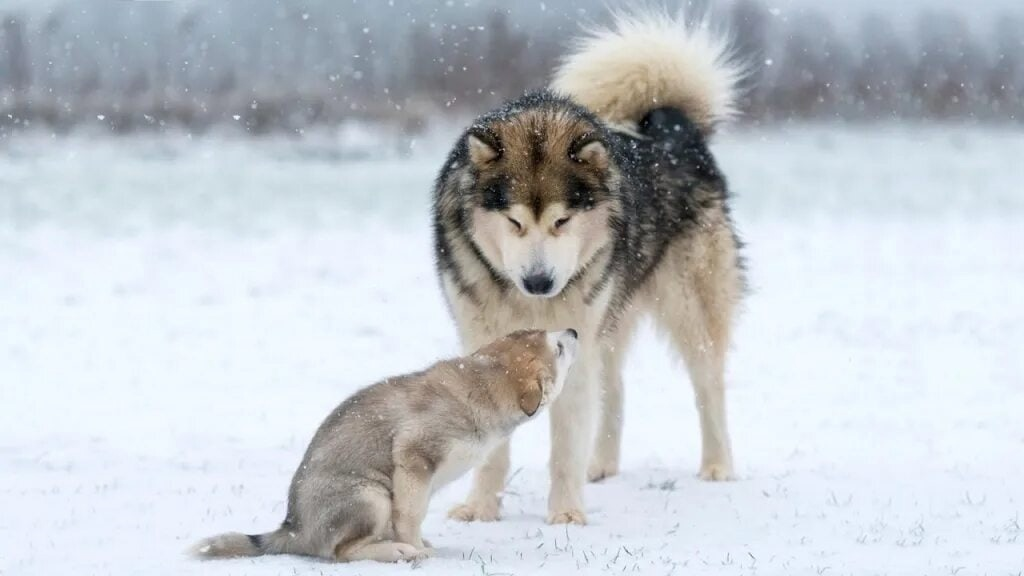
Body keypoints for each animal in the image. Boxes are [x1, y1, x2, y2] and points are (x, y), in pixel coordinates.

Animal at [190, 327, 577, 561]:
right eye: (559, 349)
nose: (573, 331)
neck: (481, 383)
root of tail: (293, 529)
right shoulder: (414, 457)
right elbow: (411, 514)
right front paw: (416, 548)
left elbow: (412, 513)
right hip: (371, 496)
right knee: (342, 551)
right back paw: (395, 552)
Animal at [430, 8, 745, 522]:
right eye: (514, 221)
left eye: (562, 220)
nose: (539, 282)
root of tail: (672, 127)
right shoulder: (487, 339)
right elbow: (495, 448)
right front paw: (480, 509)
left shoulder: (571, 341)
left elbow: (564, 446)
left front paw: (565, 516)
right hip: (609, 321)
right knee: (613, 390)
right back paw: (601, 465)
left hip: (689, 305)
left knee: (708, 387)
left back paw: (718, 466)